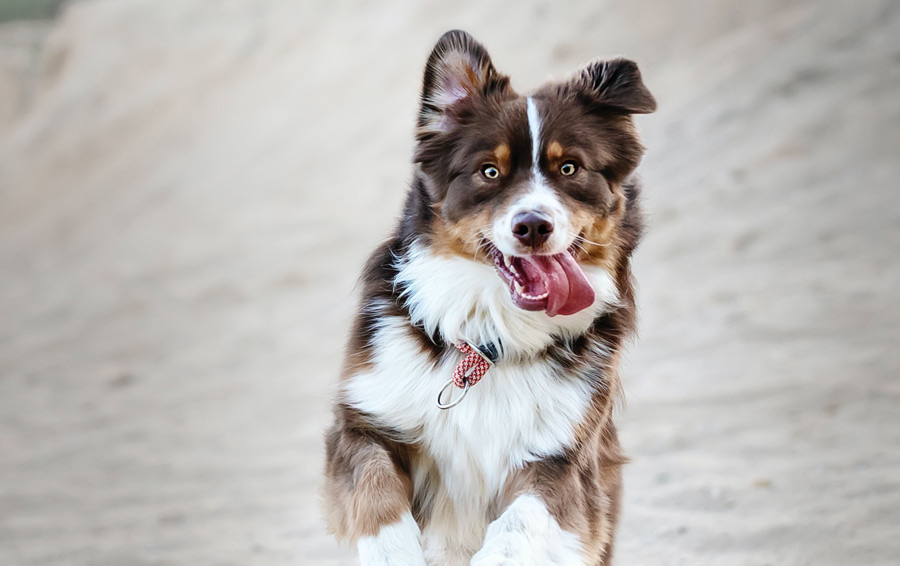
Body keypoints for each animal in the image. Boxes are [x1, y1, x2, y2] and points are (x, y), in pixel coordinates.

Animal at [324, 31, 652, 566]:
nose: (533, 226)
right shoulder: (364, 422)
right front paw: (394, 552)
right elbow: (374, 490)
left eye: (569, 168)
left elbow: (518, 526)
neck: (489, 338)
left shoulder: (560, 460)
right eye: (489, 172)